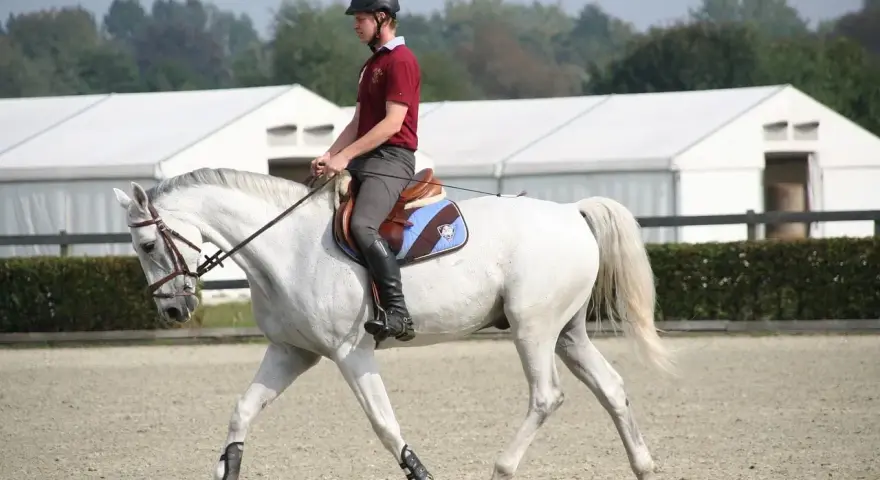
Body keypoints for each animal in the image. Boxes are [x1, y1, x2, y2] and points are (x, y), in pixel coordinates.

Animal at [111, 166, 675, 480]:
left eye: (147, 245)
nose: (172, 311)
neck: (287, 249)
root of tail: (570, 212)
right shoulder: (292, 352)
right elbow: (242, 410)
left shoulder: (350, 353)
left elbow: (383, 424)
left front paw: (420, 471)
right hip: (566, 334)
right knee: (612, 388)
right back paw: (645, 467)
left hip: (532, 329)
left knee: (546, 396)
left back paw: (502, 469)